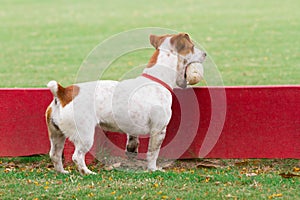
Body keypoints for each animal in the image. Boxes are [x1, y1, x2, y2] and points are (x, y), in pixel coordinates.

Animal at [45, 32, 206, 173]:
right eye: (192, 46)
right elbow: (153, 153)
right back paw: (87, 172)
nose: (205, 53)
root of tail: (63, 93)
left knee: (54, 154)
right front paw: (153, 169)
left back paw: (62, 172)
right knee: (77, 157)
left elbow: (132, 143)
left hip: (57, 135)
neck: (156, 79)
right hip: (84, 135)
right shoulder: (159, 130)